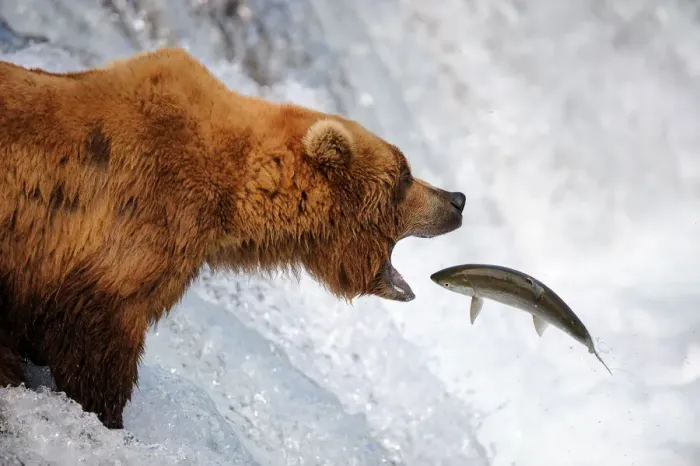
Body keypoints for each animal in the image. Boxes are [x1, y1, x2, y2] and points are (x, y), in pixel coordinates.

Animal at [0, 47, 465, 429]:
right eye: (403, 177)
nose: (456, 200)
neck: (233, 194)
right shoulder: (133, 222)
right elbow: (96, 339)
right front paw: (106, 414)